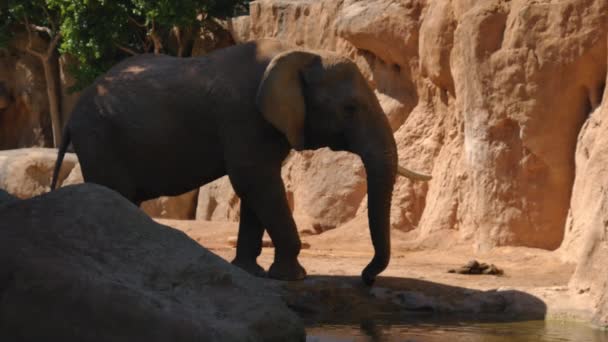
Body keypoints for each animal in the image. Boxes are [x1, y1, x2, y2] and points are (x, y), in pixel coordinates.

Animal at [52, 38, 432, 286]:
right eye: (350, 108)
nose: (366, 279)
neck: (298, 52)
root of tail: (72, 117)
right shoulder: (243, 115)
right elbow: (255, 179)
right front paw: (293, 277)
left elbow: (256, 188)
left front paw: (251, 272)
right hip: (100, 137)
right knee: (112, 192)